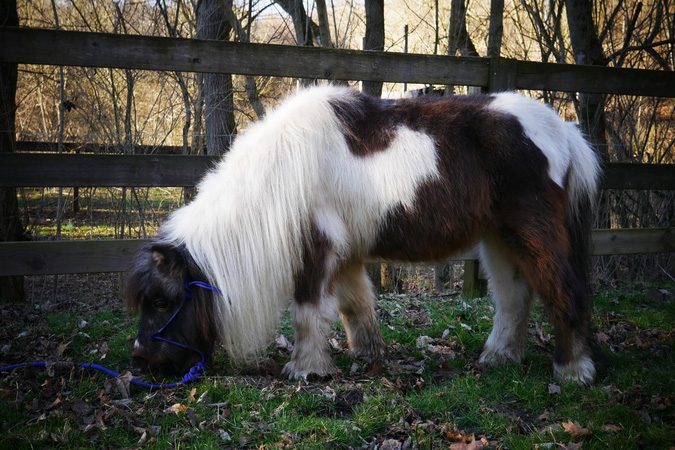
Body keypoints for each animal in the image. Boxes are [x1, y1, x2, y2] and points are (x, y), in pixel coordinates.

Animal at [127, 86, 604, 384]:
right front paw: (368, 356)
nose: (140, 360)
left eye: (162, 302)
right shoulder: (347, 254)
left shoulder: (317, 249)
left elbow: (307, 311)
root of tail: (564, 130)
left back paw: (572, 371)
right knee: (513, 298)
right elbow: (354, 306)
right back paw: (499, 359)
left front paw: (306, 369)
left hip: (532, 232)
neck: (283, 170)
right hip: (499, 239)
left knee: (564, 292)